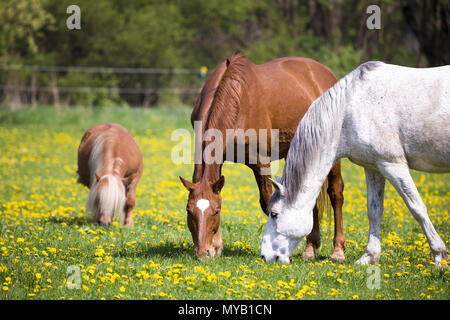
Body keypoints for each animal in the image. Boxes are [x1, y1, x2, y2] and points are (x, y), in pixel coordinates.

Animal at [178, 54, 346, 260]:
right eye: (189, 211)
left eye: (216, 212)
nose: (203, 252)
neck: (237, 97)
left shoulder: (261, 162)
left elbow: (267, 204)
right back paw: (310, 248)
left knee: (336, 193)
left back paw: (338, 250)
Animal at [260, 61, 450, 266]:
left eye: (274, 214)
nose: (264, 256)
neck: (350, 109)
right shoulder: (374, 167)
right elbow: (374, 210)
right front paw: (369, 256)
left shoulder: (393, 165)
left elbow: (417, 208)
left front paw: (439, 256)